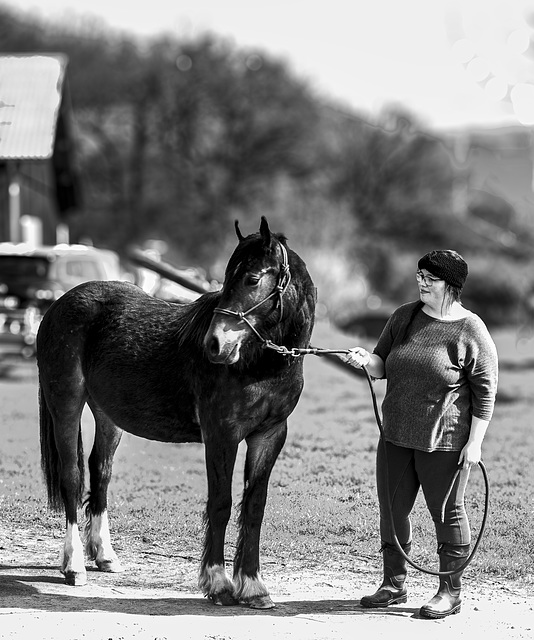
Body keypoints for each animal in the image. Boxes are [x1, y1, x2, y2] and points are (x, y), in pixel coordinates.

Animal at [36, 216, 318, 608]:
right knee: (72, 477)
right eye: (227, 278)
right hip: (65, 403)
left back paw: (104, 555)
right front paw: (218, 584)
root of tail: (58, 305)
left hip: (107, 415)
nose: (214, 344)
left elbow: (254, 508)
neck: (259, 365)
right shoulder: (222, 434)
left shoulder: (269, 436)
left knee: (100, 471)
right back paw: (74, 564)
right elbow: (221, 504)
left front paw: (253, 587)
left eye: (251, 278)